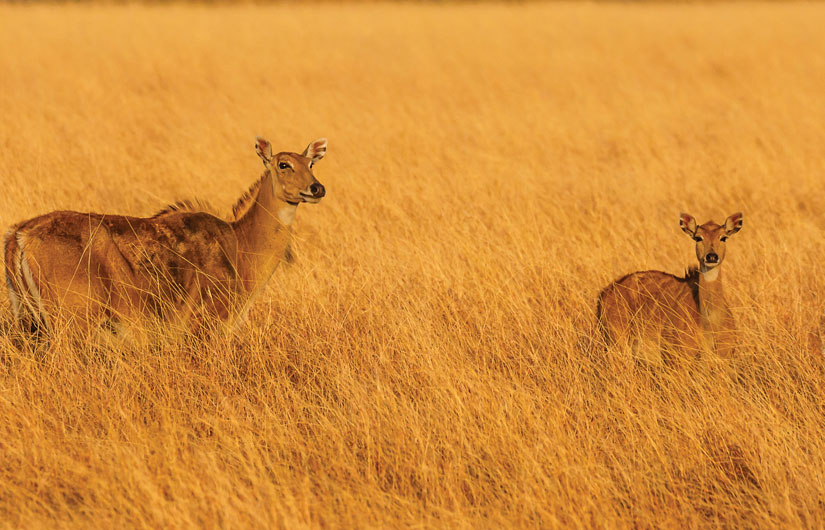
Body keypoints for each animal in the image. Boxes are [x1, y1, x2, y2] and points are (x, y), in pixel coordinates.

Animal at [596, 212, 744, 360]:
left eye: (723, 237)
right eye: (698, 237)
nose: (711, 257)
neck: (709, 324)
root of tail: (604, 294)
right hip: (617, 345)